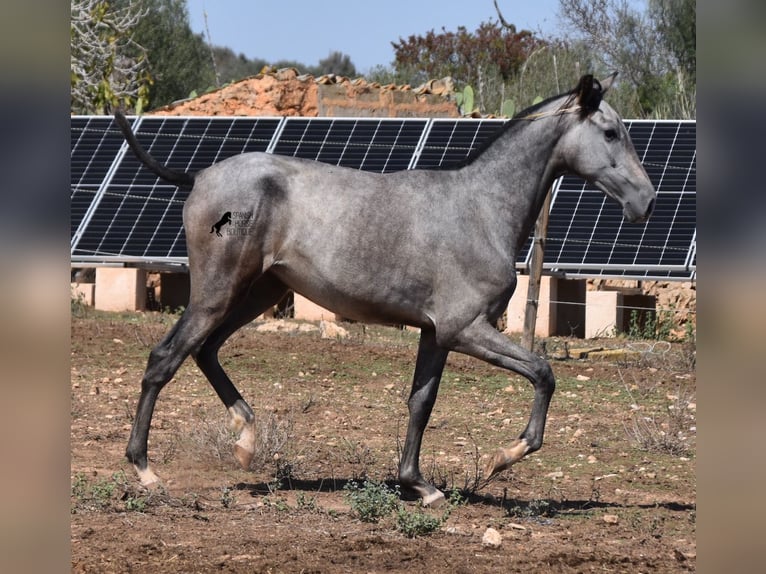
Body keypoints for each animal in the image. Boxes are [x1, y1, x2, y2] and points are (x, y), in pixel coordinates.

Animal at [114, 73, 656, 508]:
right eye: (611, 132)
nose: (647, 201)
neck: (481, 209)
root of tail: (200, 175)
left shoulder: (436, 334)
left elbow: (421, 404)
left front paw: (419, 485)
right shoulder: (466, 328)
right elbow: (543, 373)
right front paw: (503, 457)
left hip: (258, 293)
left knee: (205, 351)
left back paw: (246, 440)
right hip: (219, 290)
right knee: (165, 358)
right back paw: (146, 471)